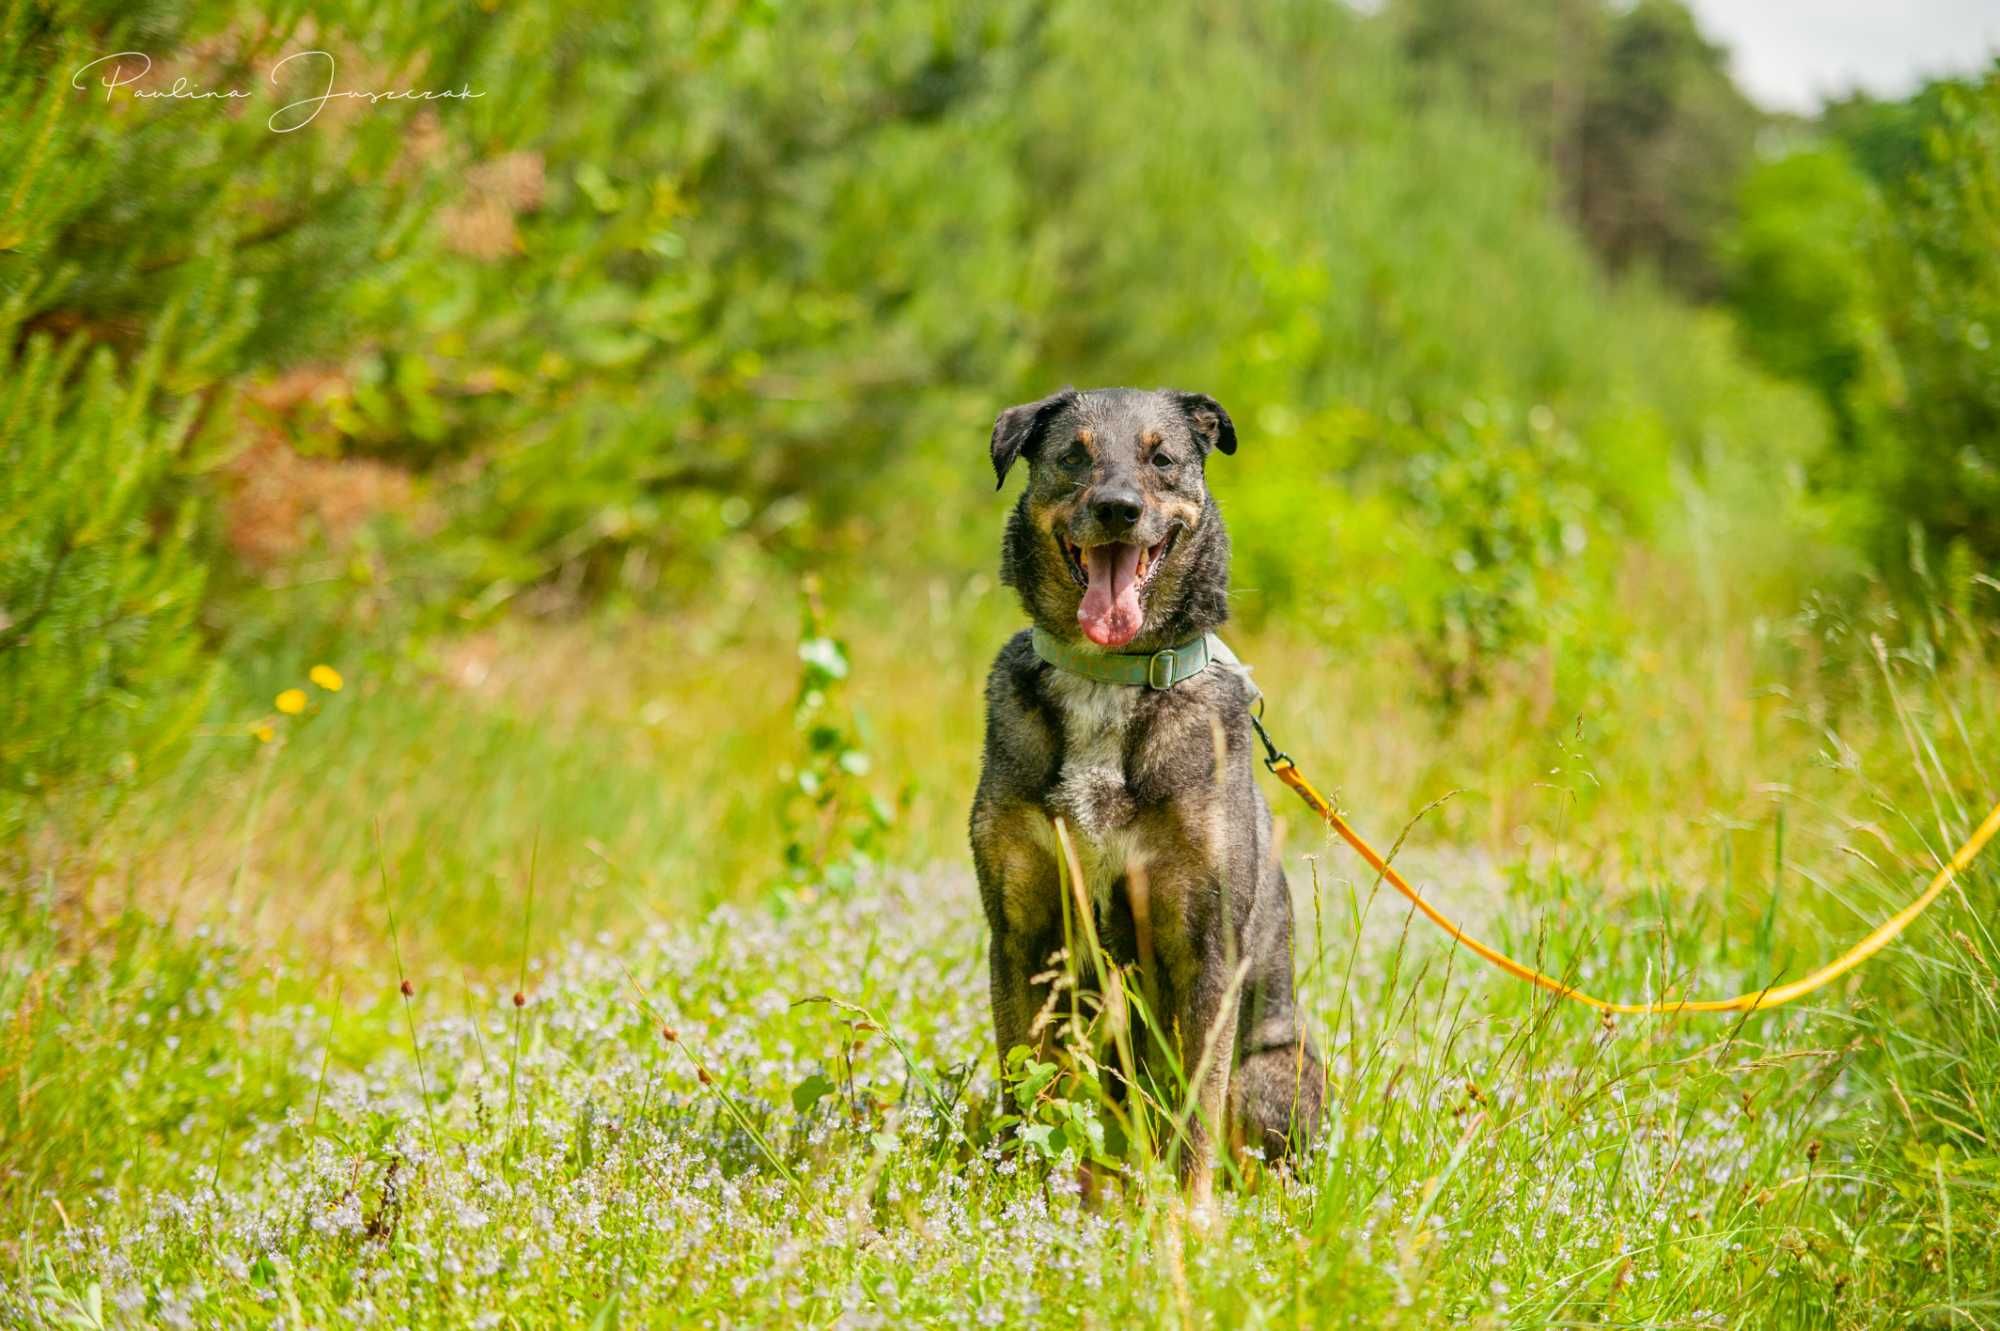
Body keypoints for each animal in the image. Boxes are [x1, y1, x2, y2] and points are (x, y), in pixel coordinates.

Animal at [972, 377, 1328, 1199]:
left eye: (1161, 459)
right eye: (1075, 456)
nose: (1117, 510)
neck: (1110, 675)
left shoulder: (1201, 940)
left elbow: (1194, 1113)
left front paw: (1185, 1215)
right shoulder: (1022, 928)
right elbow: (1026, 1086)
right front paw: (1018, 1192)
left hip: (1281, 1071)